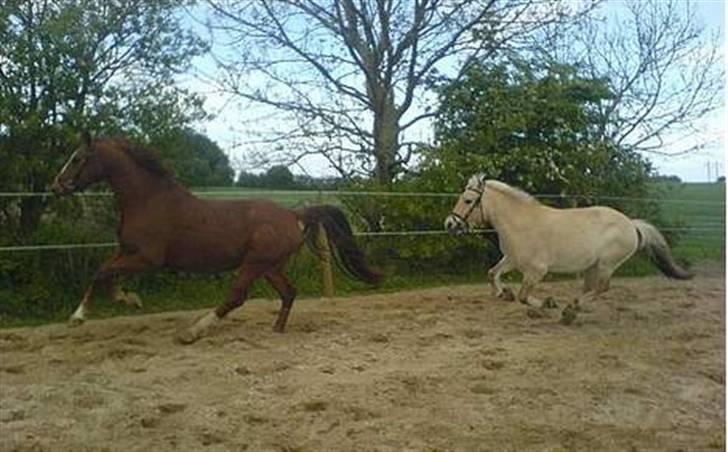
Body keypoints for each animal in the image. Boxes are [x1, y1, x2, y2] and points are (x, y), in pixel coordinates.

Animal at [51, 133, 382, 342]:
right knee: (289, 292)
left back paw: (193, 332)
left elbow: (100, 273)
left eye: (77, 158)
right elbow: (107, 275)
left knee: (236, 296)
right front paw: (127, 299)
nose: (56, 186)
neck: (148, 200)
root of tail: (294, 214)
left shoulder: (146, 258)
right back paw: (276, 330)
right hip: (271, 266)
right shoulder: (128, 252)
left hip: (254, 264)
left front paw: (79, 316)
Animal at [444, 175, 692, 324]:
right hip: (592, 266)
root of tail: (631, 224)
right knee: (591, 288)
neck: (521, 223)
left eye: (467, 201)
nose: (449, 224)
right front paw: (502, 293)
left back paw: (569, 310)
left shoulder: (536, 271)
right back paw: (572, 309)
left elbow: (523, 296)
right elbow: (492, 274)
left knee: (602, 288)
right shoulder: (511, 259)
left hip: (606, 264)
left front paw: (547, 304)